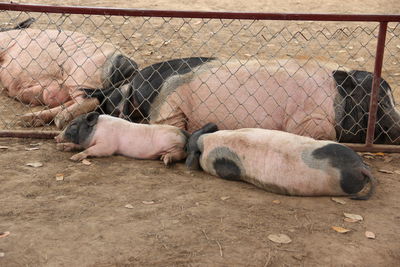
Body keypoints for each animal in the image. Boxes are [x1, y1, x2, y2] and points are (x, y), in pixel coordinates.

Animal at [0, 19, 138, 129]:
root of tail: (132, 68)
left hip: (83, 76)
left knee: (92, 100)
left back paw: (59, 120)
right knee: (72, 103)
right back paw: (25, 119)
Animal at [53, 111, 189, 165]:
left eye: (73, 124)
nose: (56, 137)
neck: (95, 131)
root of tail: (182, 131)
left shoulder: (107, 145)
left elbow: (90, 150)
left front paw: (73, 158)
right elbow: (78, 145)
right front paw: (60, 147)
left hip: (172, 143)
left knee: (183, 154)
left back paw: (166, 160)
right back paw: (162, 157)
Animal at [94, 57, 400, 146]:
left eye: (391, 99)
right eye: (382, 102)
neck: (337, 100)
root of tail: (136, 82)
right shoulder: (306, 118)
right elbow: (324, 134)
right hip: (169, 105)